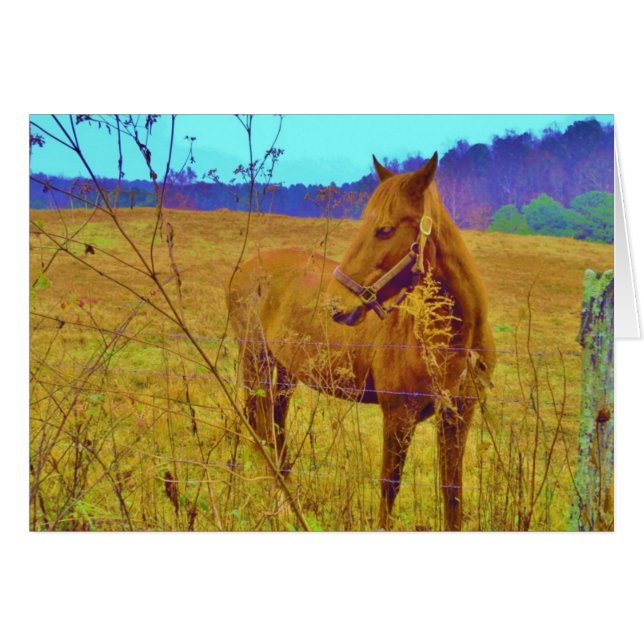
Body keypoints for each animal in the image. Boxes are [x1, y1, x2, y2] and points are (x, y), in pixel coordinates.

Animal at [227, 153, 496, 530]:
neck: (449, 340)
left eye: (384, 229)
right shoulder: (398, 415)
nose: (336, 306)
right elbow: (389, 486)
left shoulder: (458, 416)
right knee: (262, 429)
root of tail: (247, 268)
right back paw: (278, 505)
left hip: (284, 373)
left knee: (276, 430)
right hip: (257, 364)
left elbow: (452, 493)